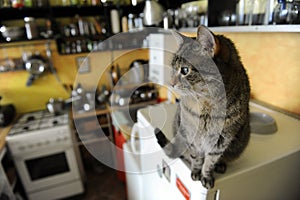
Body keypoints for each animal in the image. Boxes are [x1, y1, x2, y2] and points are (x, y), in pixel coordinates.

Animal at [155, 25, 251, 189]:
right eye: (173, 68)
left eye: (185, 70)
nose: (170, 83)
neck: (206, 105)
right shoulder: (192, 137)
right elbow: (197, 158)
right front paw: (196, 172)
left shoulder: (220, 142)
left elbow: (210, 162)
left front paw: (206, 176)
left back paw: (221, 165)